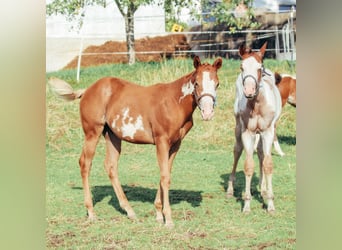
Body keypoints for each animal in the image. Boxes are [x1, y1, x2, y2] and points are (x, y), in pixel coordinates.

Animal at [49, 56, 223, 227]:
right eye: (196, 83)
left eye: (217, 84)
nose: (208, 113)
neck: (174, 102)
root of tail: (87, 90)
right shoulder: (161, 141)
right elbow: (165, 177)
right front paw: (168, 219)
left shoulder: (175, 144)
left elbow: (165, 173)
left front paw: (158, 214)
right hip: (92, 132)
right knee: (85, 163)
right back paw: (91, 212)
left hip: (112, 135)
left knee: (110, 166)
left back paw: (130, 211)